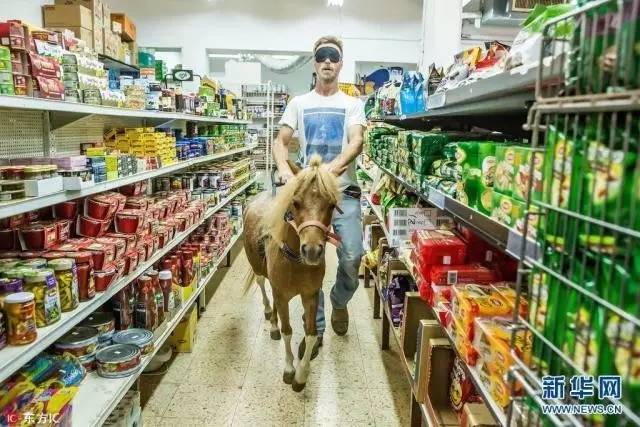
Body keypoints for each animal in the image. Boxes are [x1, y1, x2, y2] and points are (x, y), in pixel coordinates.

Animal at [243, 154, 342, 392]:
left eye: (332, 205)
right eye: (295, 202)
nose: (312, 250)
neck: (296, 261)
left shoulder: (310, 296)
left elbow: (311, 333)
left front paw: (302, 375)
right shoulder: (282, 295)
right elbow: (288, 331)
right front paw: (289, 370)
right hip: (258, 269)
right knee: (262, 286)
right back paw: (269, 316)